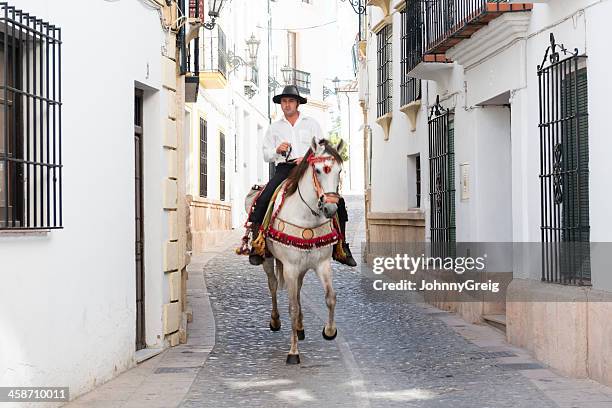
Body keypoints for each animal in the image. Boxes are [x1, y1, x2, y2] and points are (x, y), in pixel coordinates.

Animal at [258, 137, 344, 364]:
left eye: (339, 170)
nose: (330, 209)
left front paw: (329, 331)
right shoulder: (289, 267)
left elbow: (330, 298)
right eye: (319, 170)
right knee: (273, 286)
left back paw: (300, 327)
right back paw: (275, 320)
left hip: (302, 268)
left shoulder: (322, 264)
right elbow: (292, 308)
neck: (306, 216)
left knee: (297, 290)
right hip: (268, 260)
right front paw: (293, 352)